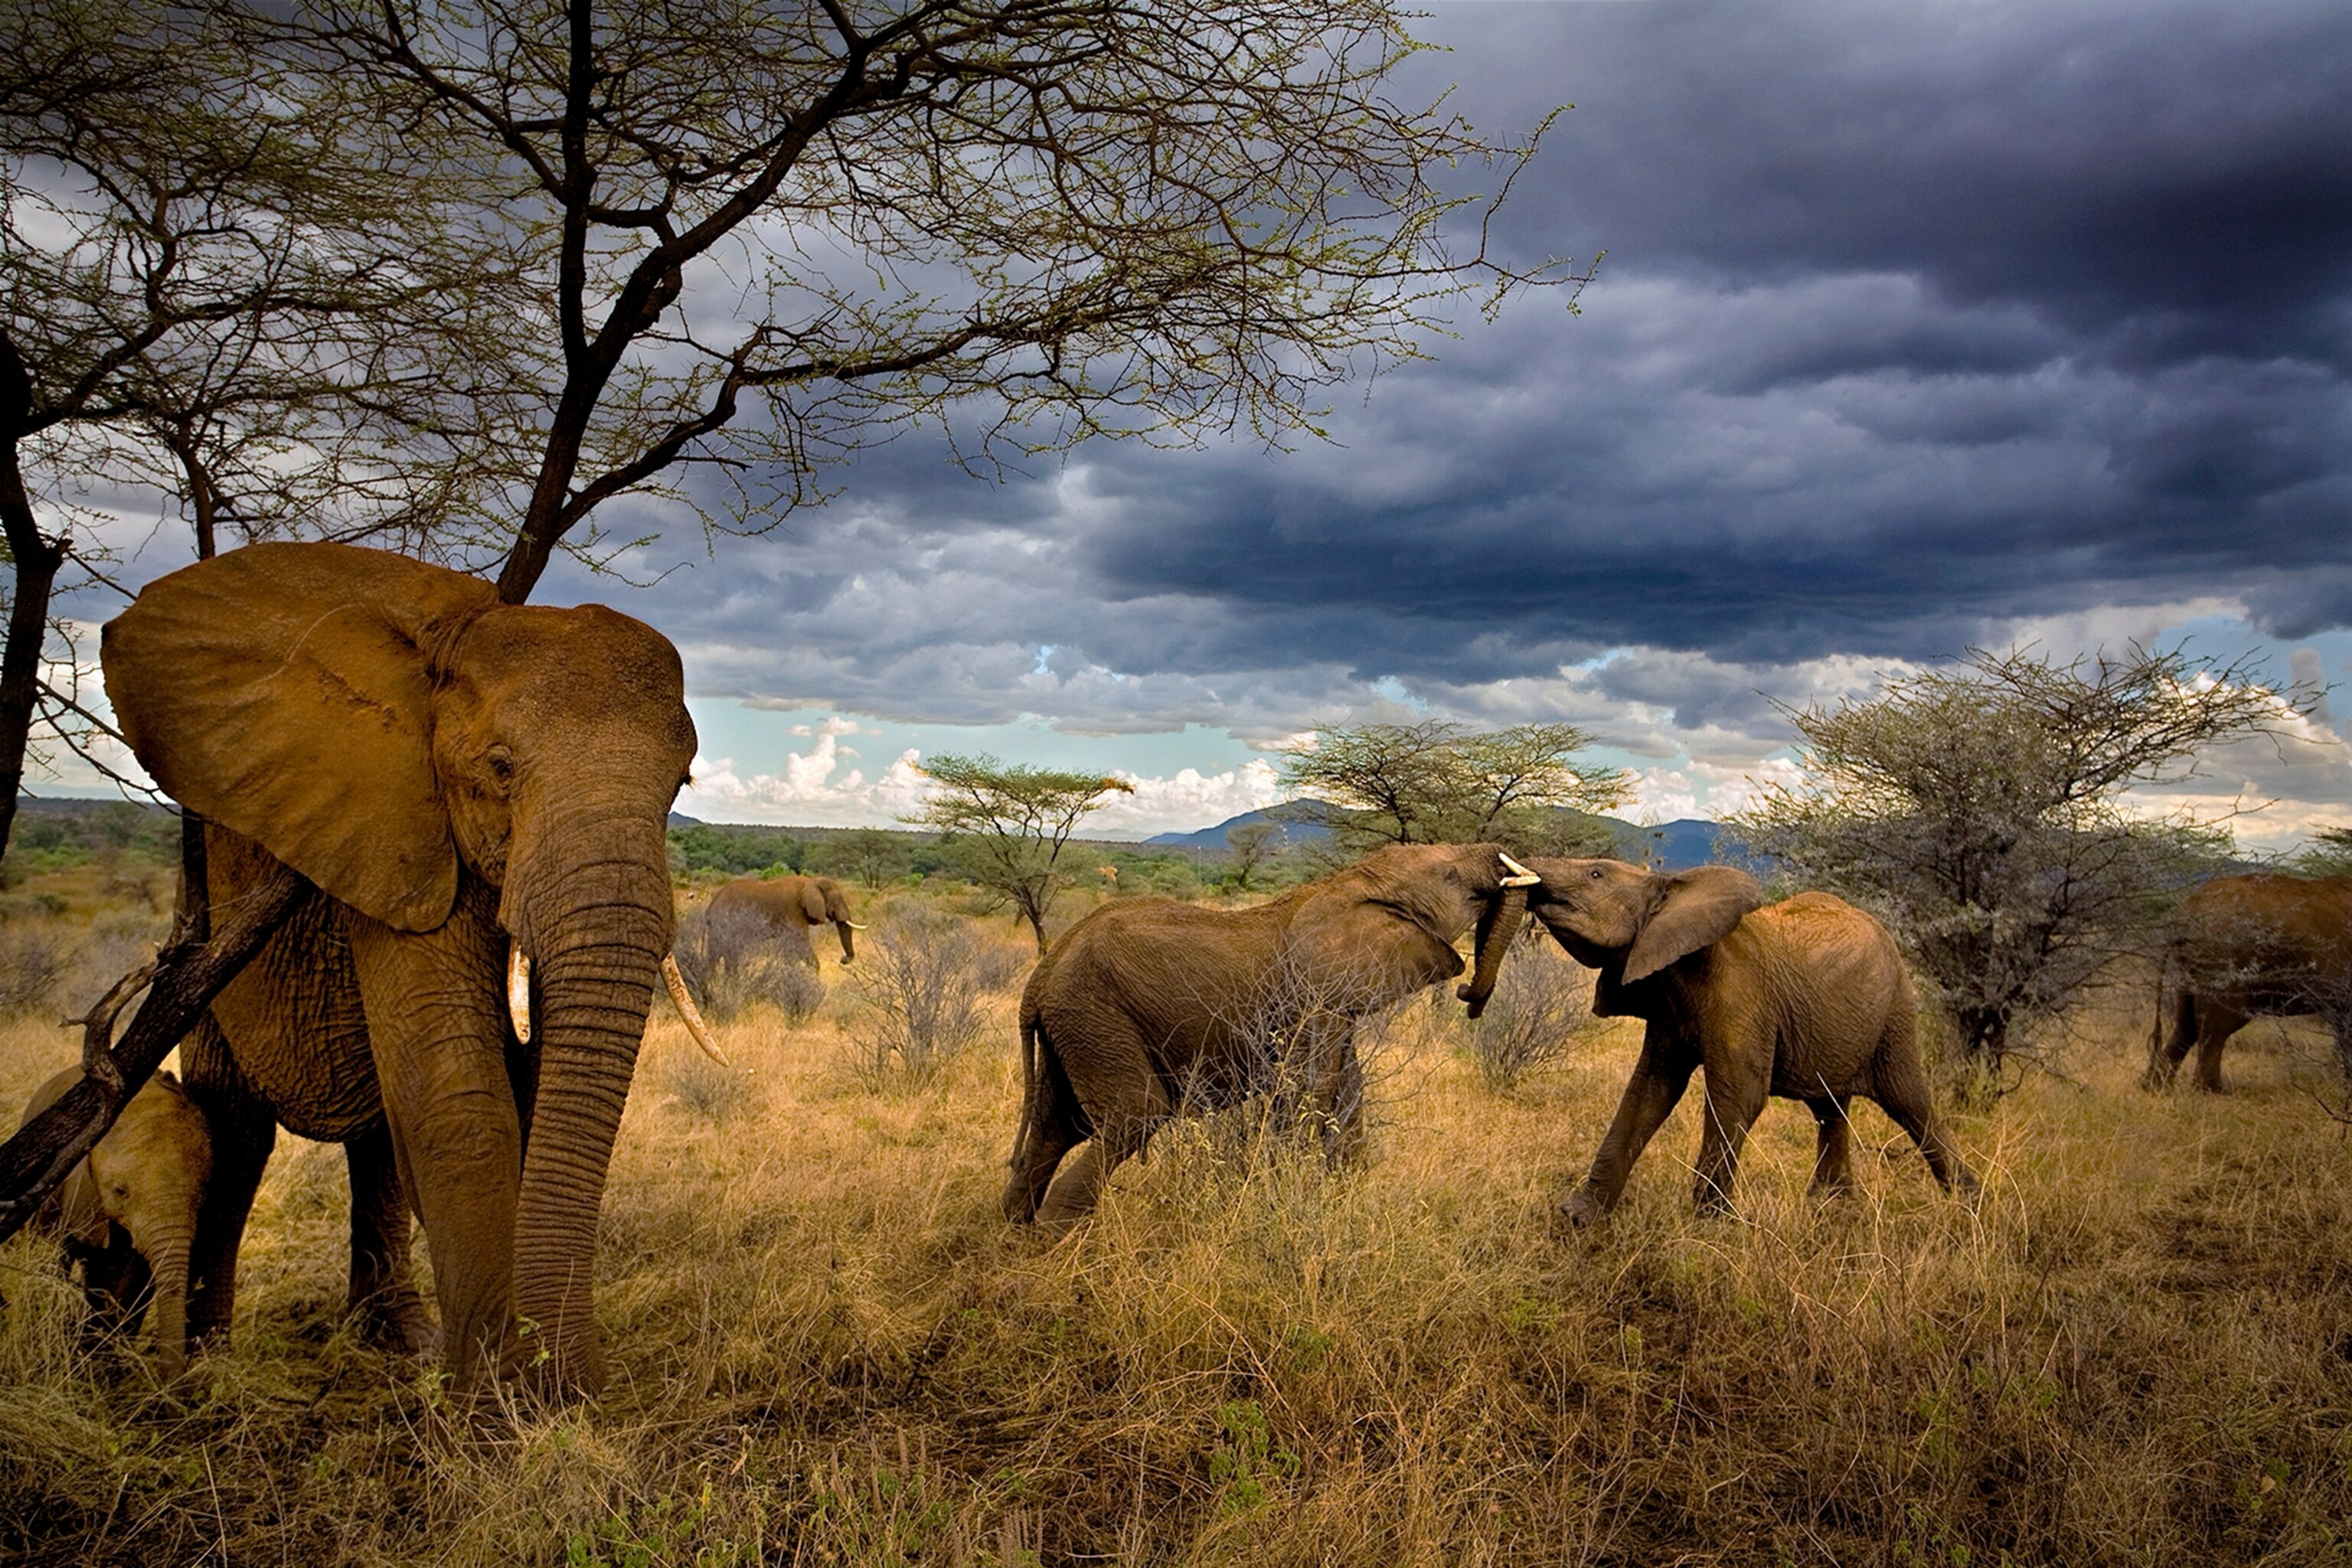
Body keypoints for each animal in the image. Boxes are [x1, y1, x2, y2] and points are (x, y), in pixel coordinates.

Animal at [101, 541, 721, 1396]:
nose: (587, 1382)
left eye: (679, 786)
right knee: (236, 1131)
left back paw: (399, 1344)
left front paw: (516, 1385)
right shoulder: (402, 835)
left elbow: (524, 1092)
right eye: (500, 767)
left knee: (374, 1141)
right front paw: (497, 1401)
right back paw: (211, 1367)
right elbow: (460, 1093)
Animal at [705, 874, 863, 968]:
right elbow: (801, 942)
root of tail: (711, 906)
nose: (843, 959)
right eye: (837, 900)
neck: (810, 881)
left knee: (716, 955)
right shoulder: (794, 910)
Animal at [1003, 841, 1541, 1228]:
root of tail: (1040, 977)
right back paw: (1057, 1242)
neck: (1349, 881)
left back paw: (1015, 1233)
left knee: (1057, 1129)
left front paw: (1342, 1202)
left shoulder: (1332, 1003)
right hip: (1095, 1014)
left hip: (1075, 1024)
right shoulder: (1312, 998)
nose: (1469, 995)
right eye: (1449, 876)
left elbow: (1347, 1096)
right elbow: (1308, 1092)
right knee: (1135, 1116)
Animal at [1518, 858, 1977, 1225]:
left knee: (1910, 1103)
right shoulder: (1669, 1002)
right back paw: (1830, 1207)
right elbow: (1649, 1090)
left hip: (1894, 1012)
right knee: (1831, 1108)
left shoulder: (1740, 992)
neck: (1674, 889)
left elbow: (1739, 1095)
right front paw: (1578, 1218)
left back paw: (1969, 1204)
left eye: (1596, 873)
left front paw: (1708, 1229)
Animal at [2143, 872, 2352, 1093]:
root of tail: (2185, 915)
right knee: (2216, 1027)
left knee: (2186, 1024)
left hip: (2189, 969)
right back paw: (2212, 1091)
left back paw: (2154, 1087)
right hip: (2221, 959)